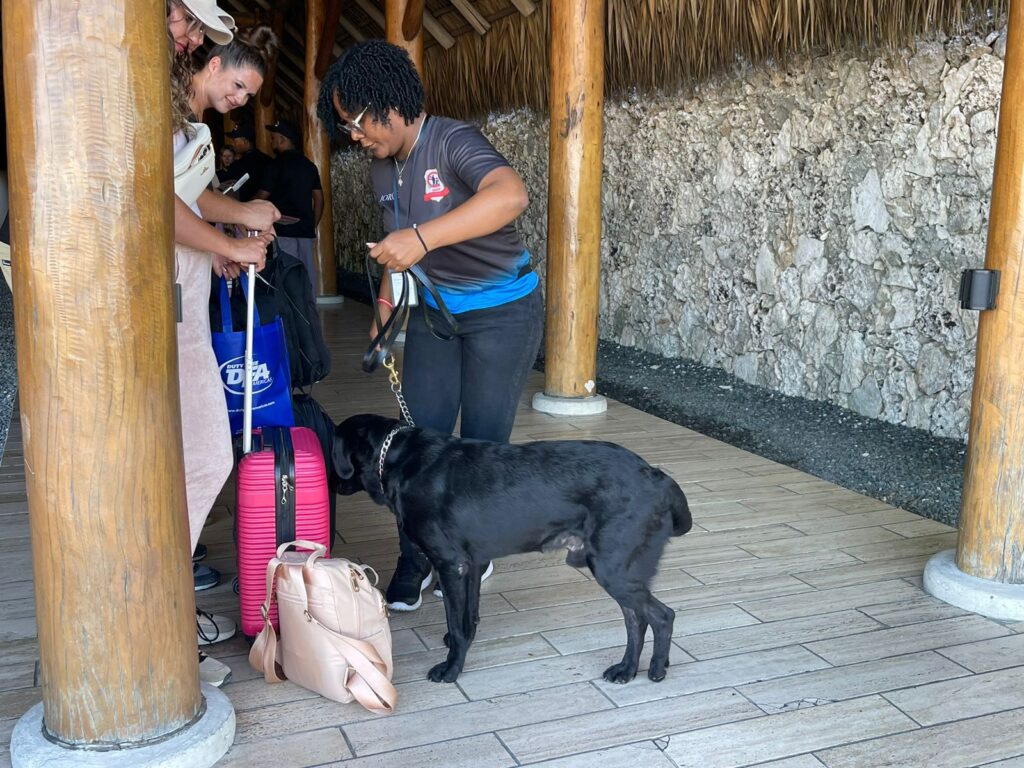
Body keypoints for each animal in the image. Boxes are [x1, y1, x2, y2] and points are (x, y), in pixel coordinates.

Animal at [332, 414, 692, 684]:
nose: (333, 484)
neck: (400, 458)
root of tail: (658, 476)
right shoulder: (471, 565)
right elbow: (468, 618)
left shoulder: (451, 564)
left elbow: (457, 624)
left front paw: (452, 668)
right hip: (617, 570)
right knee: (636, 620)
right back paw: (627, 670)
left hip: (613, 568)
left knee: (662, 616)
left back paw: (656, 669)